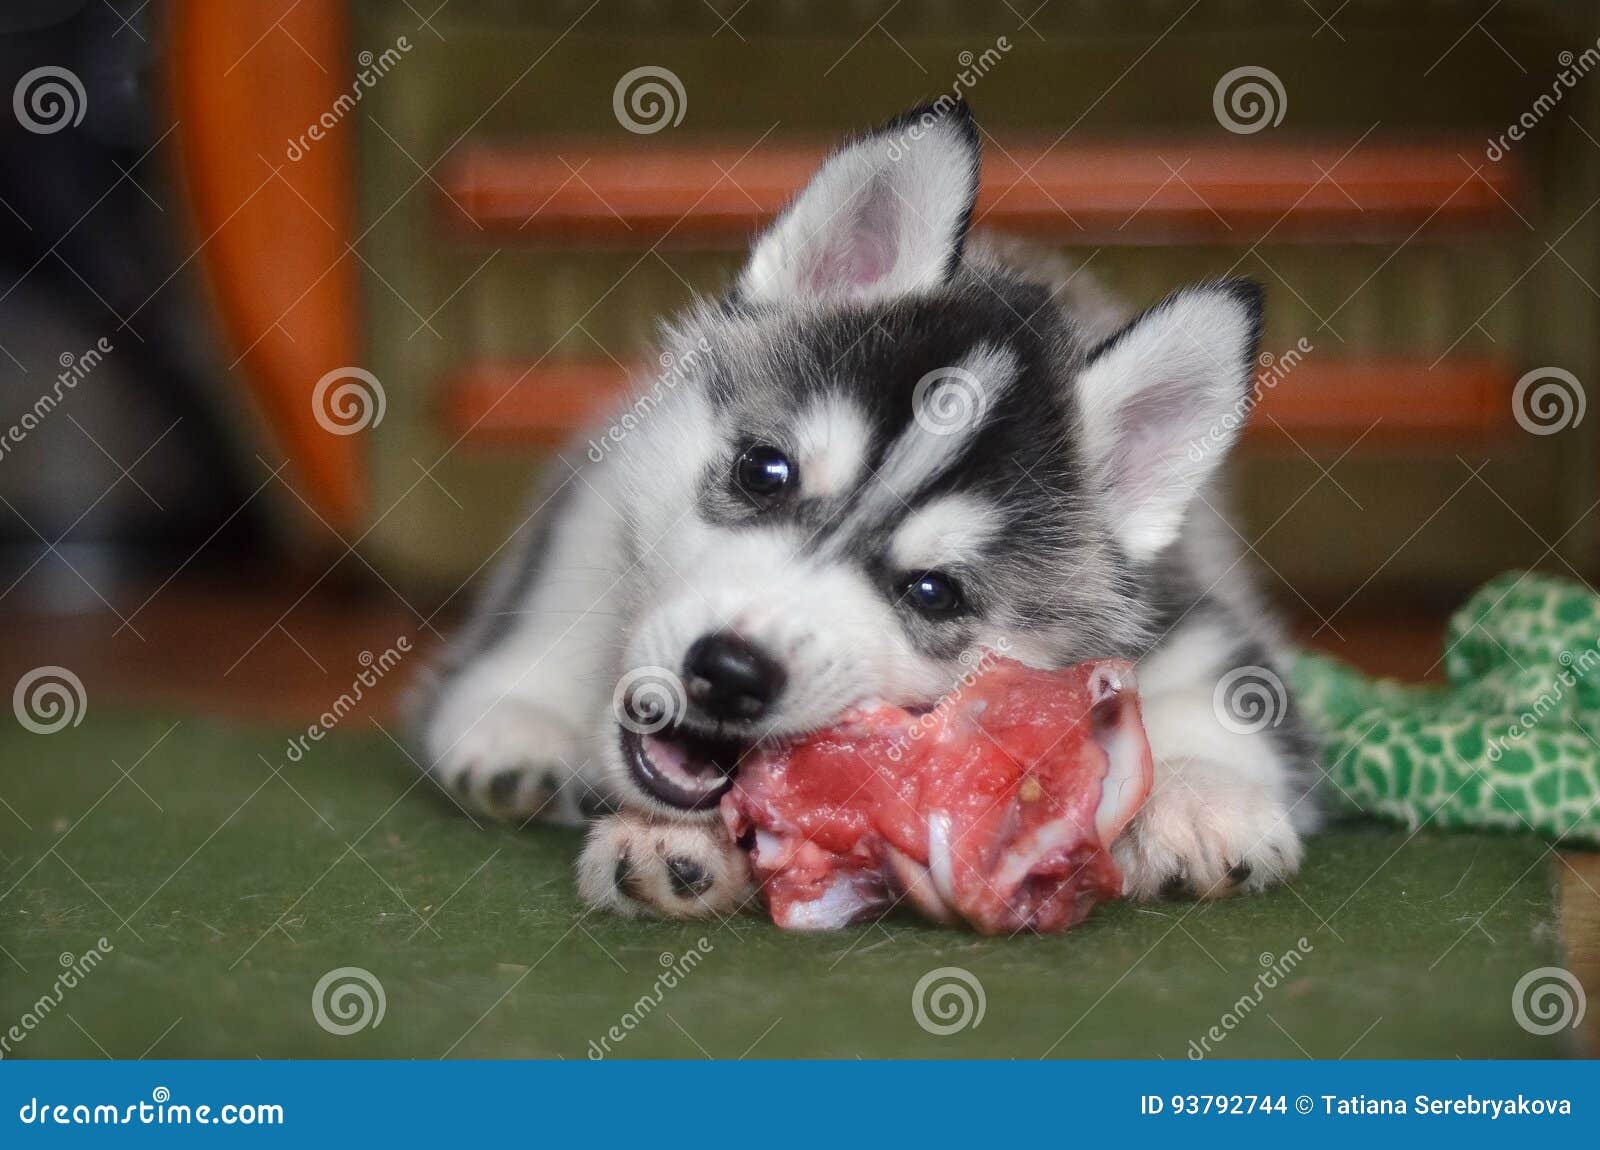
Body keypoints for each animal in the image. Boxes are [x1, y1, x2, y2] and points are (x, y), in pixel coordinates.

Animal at [409, 103, 1312, 921]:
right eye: (763, 471)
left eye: (933, 592)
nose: (728, 671)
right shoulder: (600, 506)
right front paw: (564, 751)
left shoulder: (1184, 608)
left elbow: (1221, 693)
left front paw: (1200, 798)